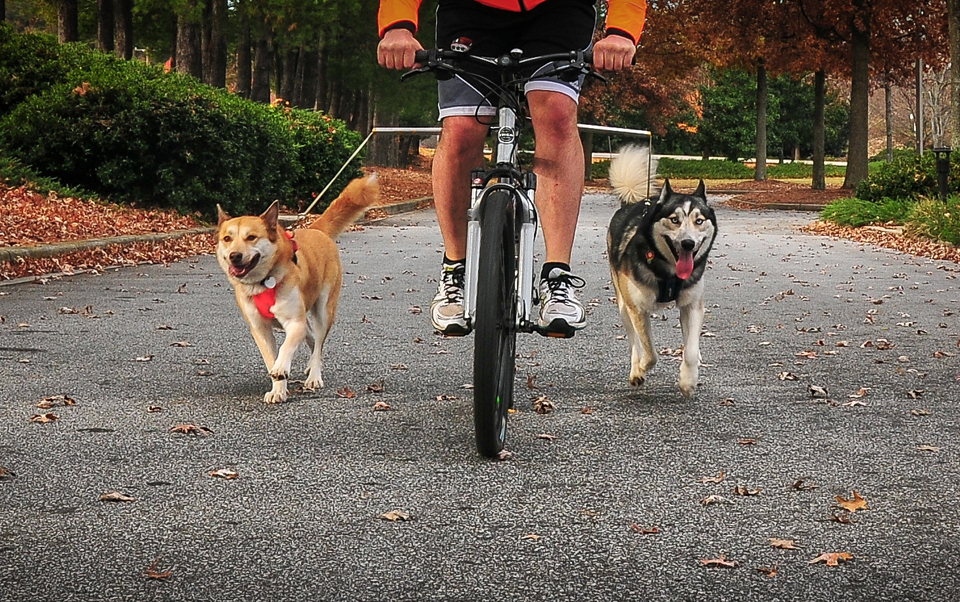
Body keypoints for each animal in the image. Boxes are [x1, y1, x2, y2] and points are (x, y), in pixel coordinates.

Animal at [218, 175, 378, 404]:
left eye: (251, 237)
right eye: (227, 238)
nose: (235, 256)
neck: (263, 282)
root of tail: (316, 230)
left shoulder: (294, 322)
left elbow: (286, 348)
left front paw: (282, 370)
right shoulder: (260, 328)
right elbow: (272, 358)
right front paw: (278, 388)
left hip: (324, 310)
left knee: (318, 342)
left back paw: (314, 376)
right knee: (310, 337)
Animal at [604, 145, 716, 396]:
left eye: (699, 221)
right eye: (674, 220)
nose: (688, 244)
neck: (669, 274)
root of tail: (631, 203)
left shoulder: (693, 305)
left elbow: (690, 350)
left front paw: (688, 380)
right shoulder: (638, 309)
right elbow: (650, 352)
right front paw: (642, 368)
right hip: (623, 304)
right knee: (634, 342)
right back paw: (636, 369)